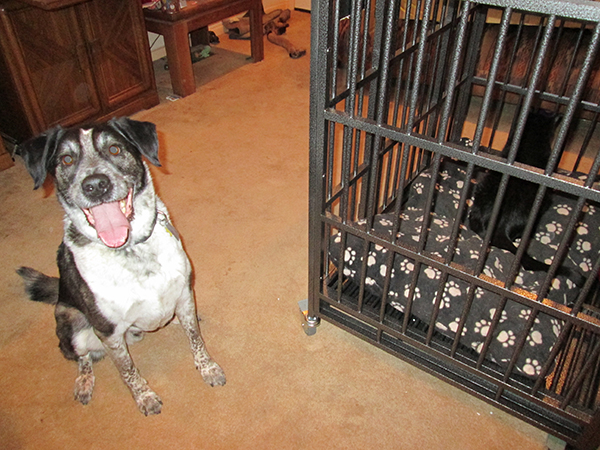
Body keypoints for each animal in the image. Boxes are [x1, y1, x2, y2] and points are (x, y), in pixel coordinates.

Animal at [15, 118, 225, 415]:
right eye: (66, 159)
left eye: (114, 149)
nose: (95, 185)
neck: (132, 248)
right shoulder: (108, 332)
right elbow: (128, 371)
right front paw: (145, 397)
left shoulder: (185, 294)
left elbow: (196, 340)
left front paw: (208, 368)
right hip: (70, 321)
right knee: (83, 357)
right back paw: (83, 382)